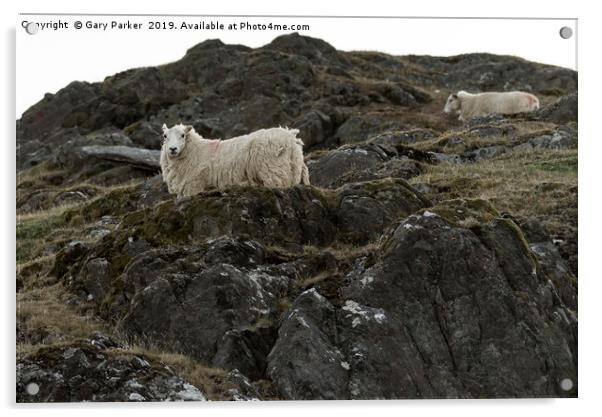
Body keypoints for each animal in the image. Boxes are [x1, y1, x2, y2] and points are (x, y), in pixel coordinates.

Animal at [159, 123, 310, 197]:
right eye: (165, 136)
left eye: (183, 135)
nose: (172, 149)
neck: (195, 150)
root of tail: (290, 137)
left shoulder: (194, 185)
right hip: (294, 167)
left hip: (275, 170)